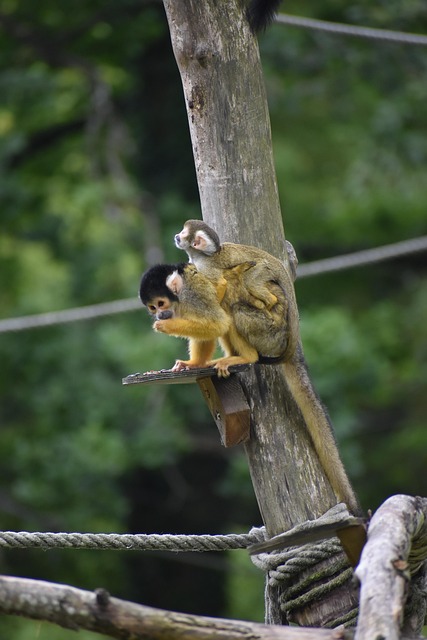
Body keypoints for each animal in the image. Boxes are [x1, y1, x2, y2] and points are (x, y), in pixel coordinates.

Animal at [174, 219, 361, 515]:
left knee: (236, 302)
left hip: (264, 300)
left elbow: (217, 298)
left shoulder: (208, 269)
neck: (204, 256)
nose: (176, 236)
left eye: (184, 234)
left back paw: (253, 333)